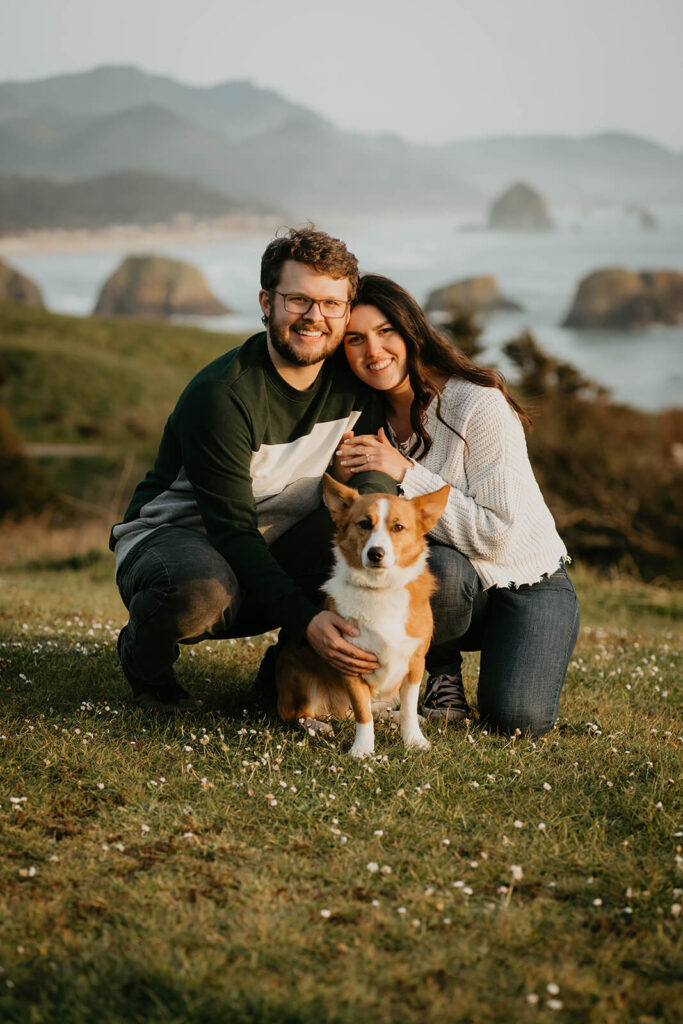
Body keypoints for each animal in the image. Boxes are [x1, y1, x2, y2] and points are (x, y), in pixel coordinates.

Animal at [274, 475, 450, 757]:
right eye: (365, 523)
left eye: (398, 527)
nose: (375, 553)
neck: (380, 589)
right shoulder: (351, 666)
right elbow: (363, 714)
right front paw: (362, 750)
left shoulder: (414, 664)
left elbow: (409, 710)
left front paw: (414, 740)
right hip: (297, 673)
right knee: (297, 714)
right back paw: (318, 725)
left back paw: (391, 715)